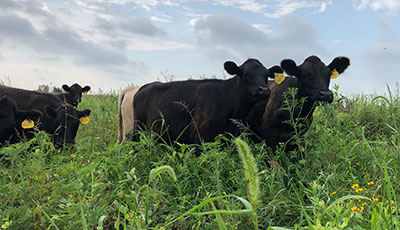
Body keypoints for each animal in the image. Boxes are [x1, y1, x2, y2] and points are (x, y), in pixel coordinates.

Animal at [132, 58, 282, 144]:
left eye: (266, 75)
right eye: (246, 75)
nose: (264, 90)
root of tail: (143, 88)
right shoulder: (200, 136)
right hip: (138, 130)